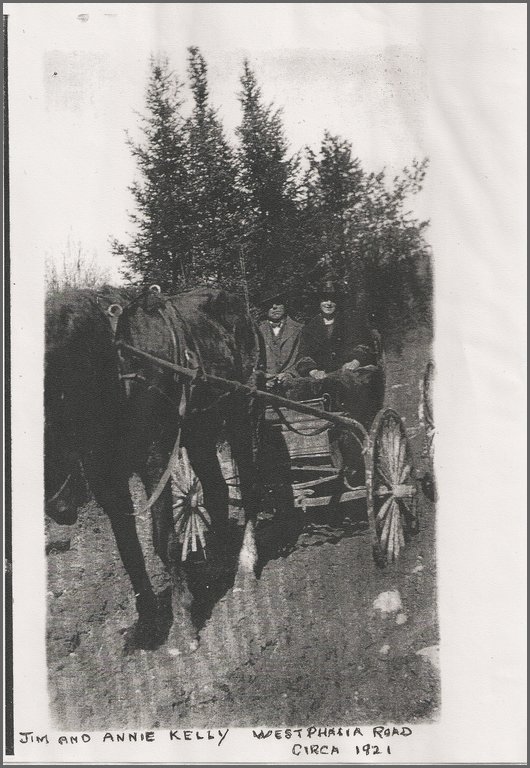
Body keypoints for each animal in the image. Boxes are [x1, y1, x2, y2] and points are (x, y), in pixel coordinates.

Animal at [44, 284, 262, 652]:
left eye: (57, 400)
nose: (59, 508)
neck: (117, 364)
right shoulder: (106, 475)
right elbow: (129, 550)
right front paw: (147, 623)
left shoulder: (155, 459)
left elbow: (164, 540)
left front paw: (182, 624)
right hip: (199, 430)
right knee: (217, 490)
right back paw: (216, 567)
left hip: (241, 413)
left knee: (248, 481)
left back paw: (246, 560)